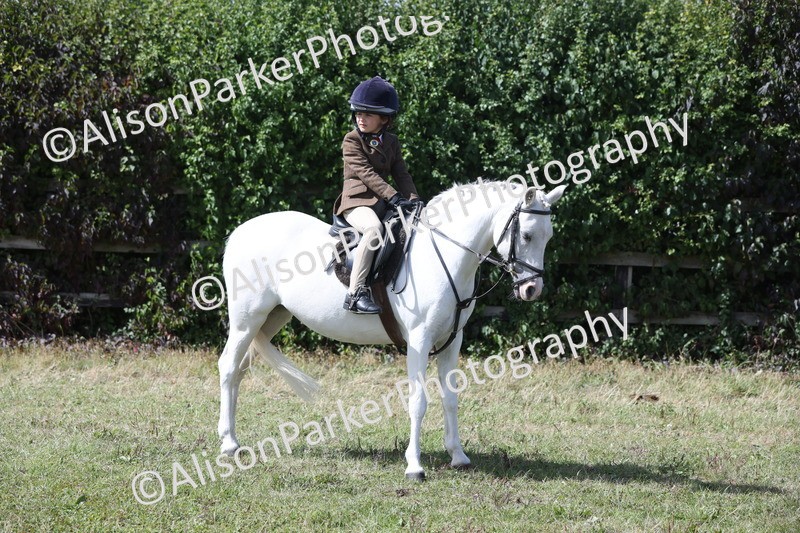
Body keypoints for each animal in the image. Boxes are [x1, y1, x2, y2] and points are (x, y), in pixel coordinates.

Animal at [217, 179, 566, 479]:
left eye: (549, 238)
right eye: (527, 236)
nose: (532, 289)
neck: (444, 255)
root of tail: (240, 232)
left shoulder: (452, 342)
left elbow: (450, 398)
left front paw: (458, 456)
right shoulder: (419, 341)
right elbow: (418, 401)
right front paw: (414, 466)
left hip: (271, 318)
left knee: (240, 371)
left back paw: (233, 439)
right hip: (246, 321)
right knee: (228, 367)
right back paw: (228, 443)